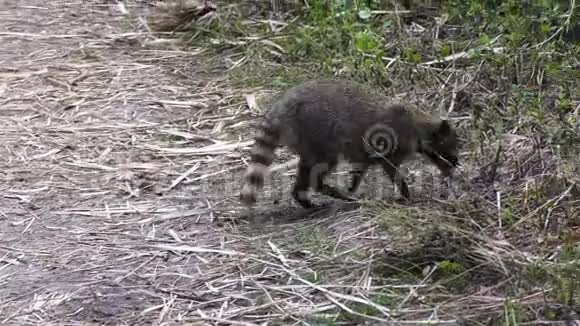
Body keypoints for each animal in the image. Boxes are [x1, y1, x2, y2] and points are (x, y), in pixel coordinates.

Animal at [238, 79, 460, 209]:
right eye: (451, 148)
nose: (456, 164)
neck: (420, 124)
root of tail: (282, 107)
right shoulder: (391, 146)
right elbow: (392, 169)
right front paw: (405, 193)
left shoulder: (367, 153)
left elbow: (360, 168)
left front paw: (353, 186)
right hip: (316, 133)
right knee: (321, 168)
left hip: (309, 141)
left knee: (307, 169)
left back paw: (304, 197)